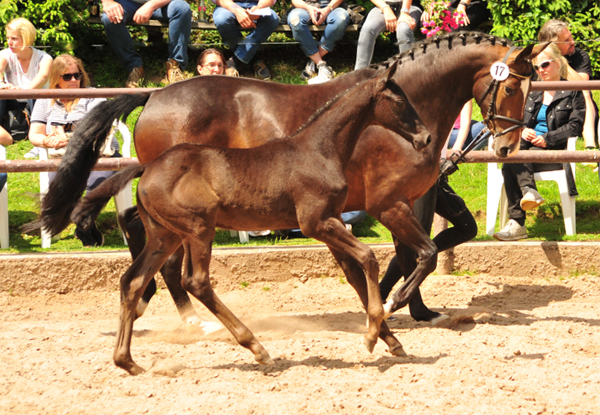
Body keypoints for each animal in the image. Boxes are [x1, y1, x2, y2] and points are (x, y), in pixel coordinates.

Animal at [31, 31, 544, 328]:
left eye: (531, 86)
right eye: (510, 85)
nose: (507, 147)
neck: (399, 110)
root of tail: (155, 94)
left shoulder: (417, 194)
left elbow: (430, 246)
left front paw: (398, 304)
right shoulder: (390, 201)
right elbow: (420, 253)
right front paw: (399, 303)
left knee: (149, 240)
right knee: (152, 243)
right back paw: (185, 315)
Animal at [76, 63, 432, 376]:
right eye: (399, 101)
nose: (425, 137)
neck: (319, 149)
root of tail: (147, 168)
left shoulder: (331, 221)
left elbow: (358, 269)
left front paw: (389, 339)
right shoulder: (316, 222)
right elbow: (368, 257)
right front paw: (372, 333)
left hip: (165, 235)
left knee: (133, 281)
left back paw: (127, 361)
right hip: (199, 228)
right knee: (196, 281)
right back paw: (256, 347)